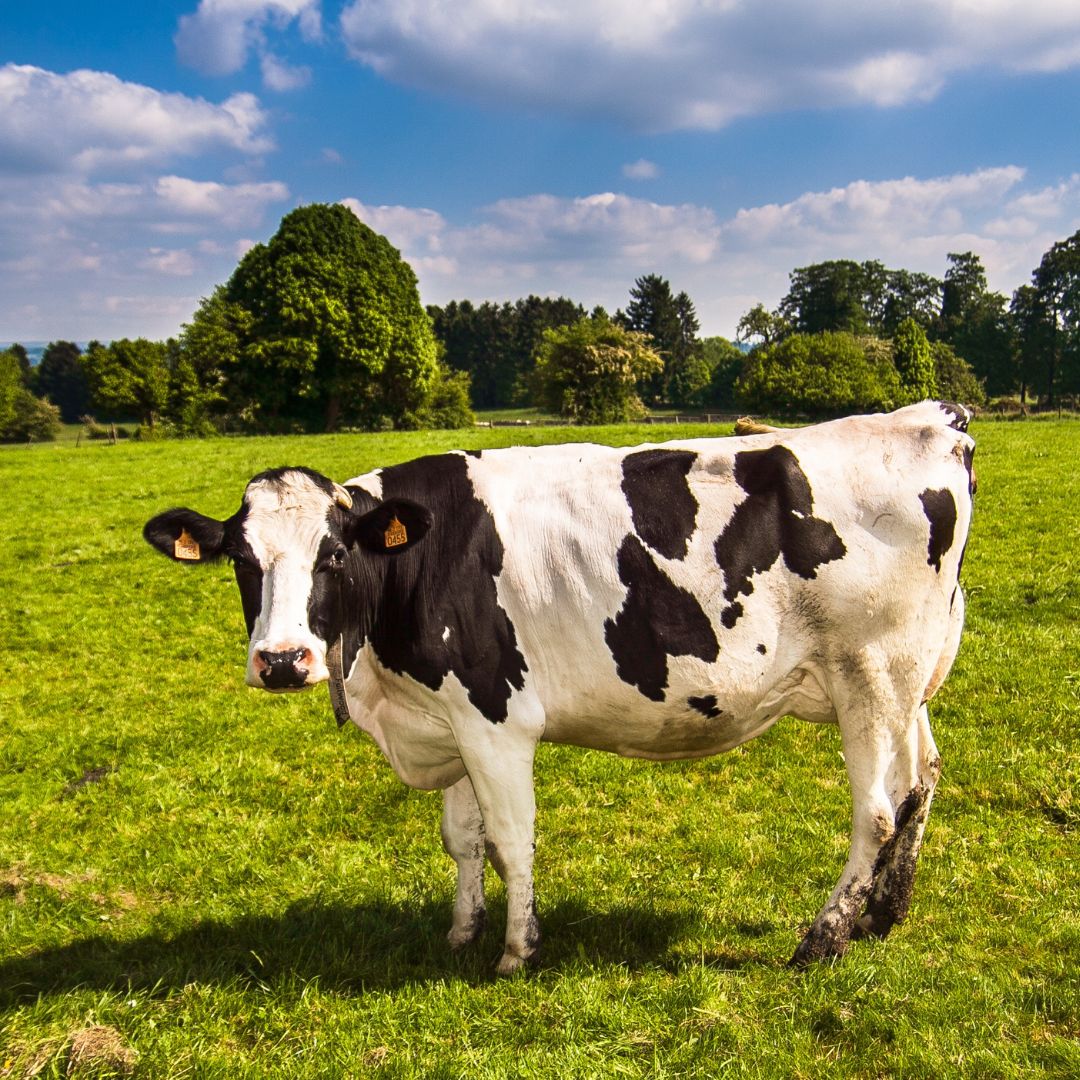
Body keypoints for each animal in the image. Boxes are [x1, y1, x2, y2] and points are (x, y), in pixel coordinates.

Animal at [143, 401, 980, 976]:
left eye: (334, 555)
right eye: (242, 561)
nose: (283, 660)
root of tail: (931, 418)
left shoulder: (494, 716)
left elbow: (510, 837)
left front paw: (518, 950)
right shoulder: (450, 716)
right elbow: (462, 838)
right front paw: (461, 931)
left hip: (870, 674)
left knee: (876, 811)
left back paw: (824, 937)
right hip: (908, 678)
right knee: (921, 780)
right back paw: (884, 914)